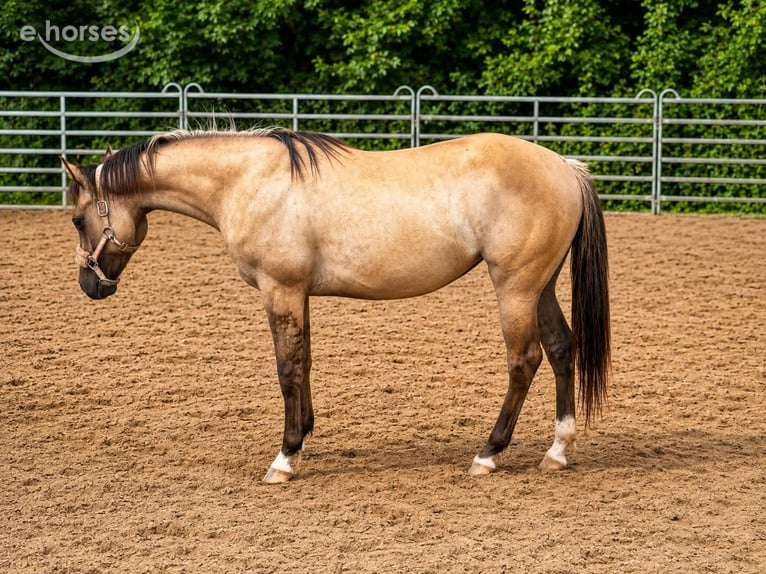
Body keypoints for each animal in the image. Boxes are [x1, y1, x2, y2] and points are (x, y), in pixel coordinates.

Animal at [62, 127, 610, 484]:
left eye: (77, 219)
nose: (91, 286)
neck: (249, 181)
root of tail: (565, 168)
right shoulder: (297, 294)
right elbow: (304, 362)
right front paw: (303, 436)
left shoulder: (279, 289)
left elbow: (286, 368)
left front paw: (284, 458)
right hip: (540, 286)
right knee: (561, 350)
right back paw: (557, 451)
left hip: (515, 286)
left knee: (524, 361)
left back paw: (488, 454)